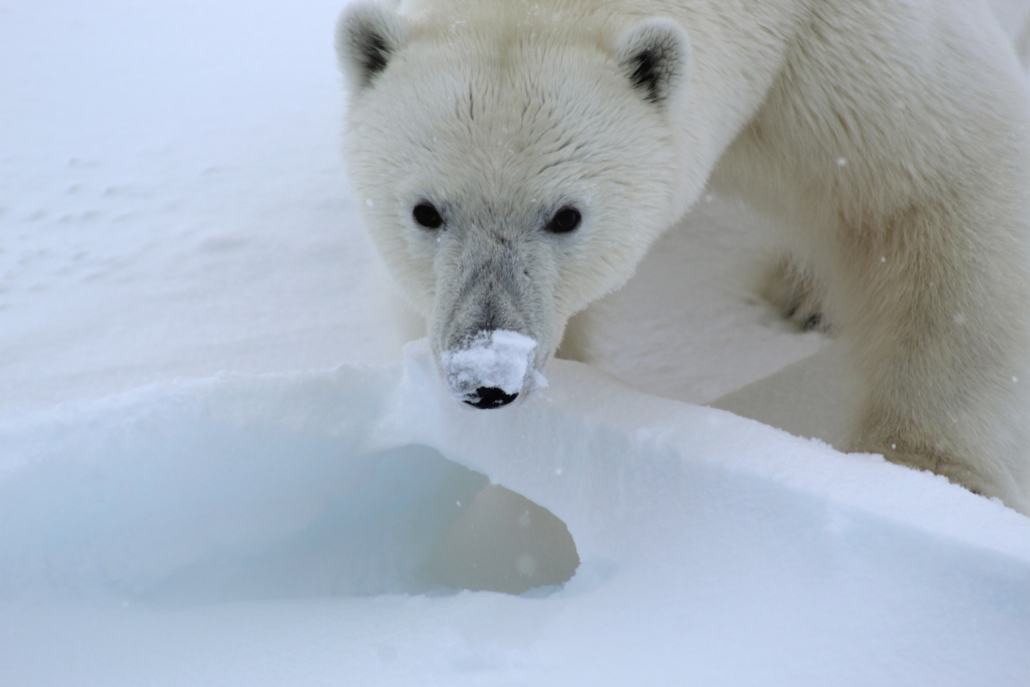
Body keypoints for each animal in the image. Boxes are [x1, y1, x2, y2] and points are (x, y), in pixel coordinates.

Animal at [335, 0, 1030, 510]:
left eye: (566, 215)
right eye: (426, 211)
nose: (486, 377)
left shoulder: (851, 59)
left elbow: (947, 196)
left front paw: (928, 476)